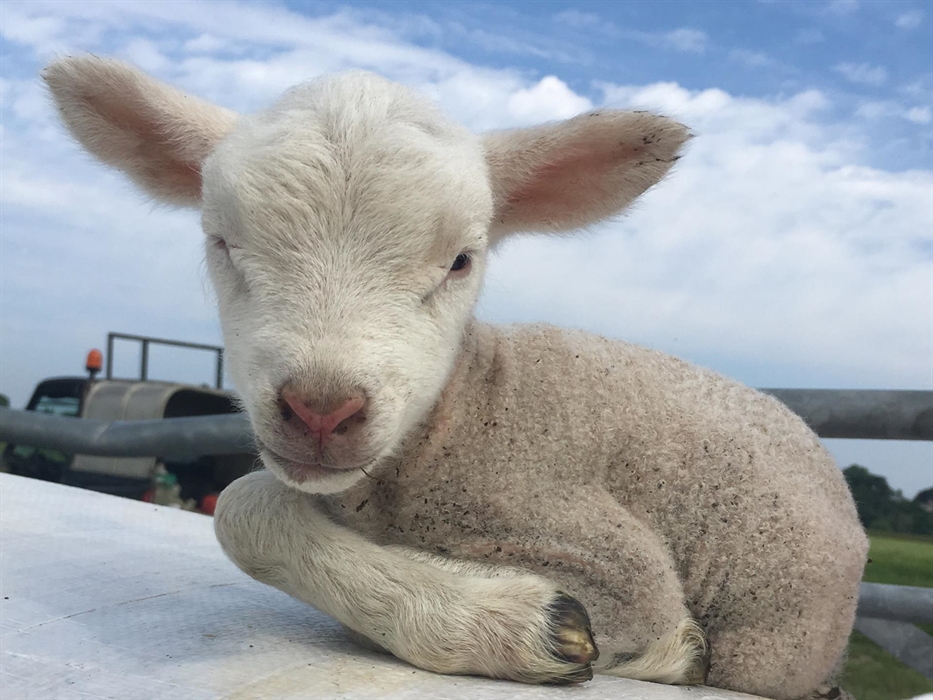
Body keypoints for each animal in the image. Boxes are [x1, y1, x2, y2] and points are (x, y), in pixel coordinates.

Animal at [44, 56, 868, 700]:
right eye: (219, 242)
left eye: (461, 262)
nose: (320, 410)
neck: (469, 407)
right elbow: (243, 510)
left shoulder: (609, 558)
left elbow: (240, 505)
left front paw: (531, 628)